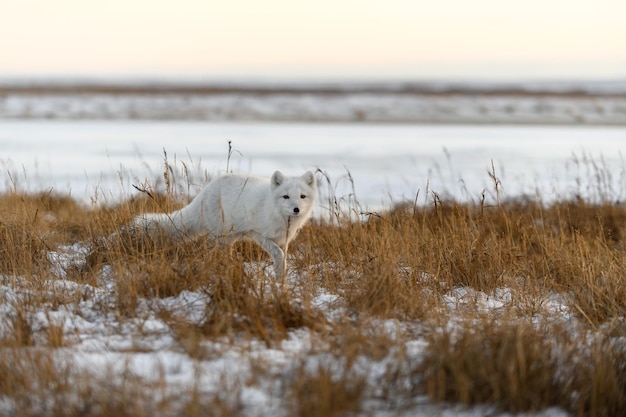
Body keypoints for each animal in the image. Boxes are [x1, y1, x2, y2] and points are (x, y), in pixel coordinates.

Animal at [133, 169, 314, 280]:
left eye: (302, 196)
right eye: (286, 197)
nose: (296, 209)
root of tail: (204, 193)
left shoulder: (284, 240)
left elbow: (282, 258)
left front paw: (281, 280)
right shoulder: (257, 233)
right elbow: (278, 254)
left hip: (229, 238)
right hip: (221, 236)